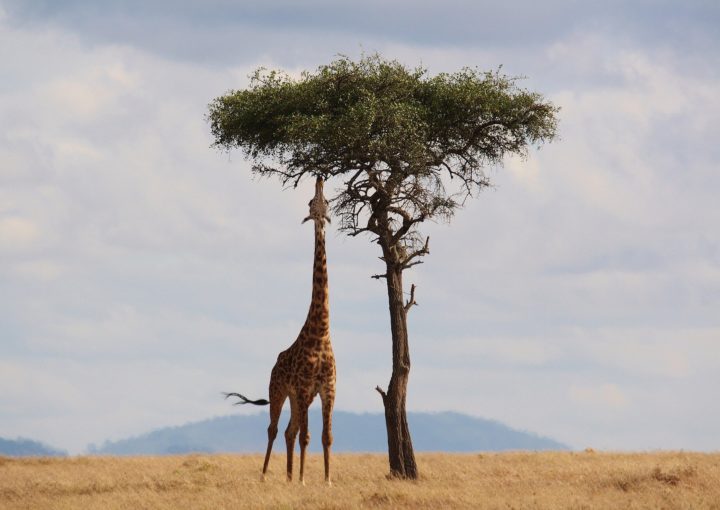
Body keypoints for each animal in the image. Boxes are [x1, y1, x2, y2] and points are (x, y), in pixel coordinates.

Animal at [225, 176, 334, 486]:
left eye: (326, 202)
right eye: (311, 202)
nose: (320, 178)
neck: (321, 332)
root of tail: (274, 364)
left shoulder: (327, 389)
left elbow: (326, 436)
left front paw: (326, 480)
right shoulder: (305, 387)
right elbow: (307, 436)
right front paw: (304, 480)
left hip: (297, 397)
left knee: (289, 431)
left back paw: (287, 476)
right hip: (279, 390)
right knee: (274, 429)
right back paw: (266, 475)